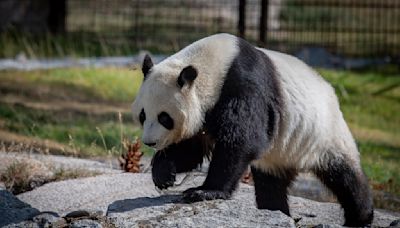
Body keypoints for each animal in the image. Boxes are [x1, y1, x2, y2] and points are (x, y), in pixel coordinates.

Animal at [133, 33, 374, 226]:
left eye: (165, 118)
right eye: (143, 115)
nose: (150, 142)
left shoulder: (243, 85)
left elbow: (242, 141)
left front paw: (203, 191)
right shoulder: (205, 113)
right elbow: (191, 150)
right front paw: (163, 175)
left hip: (324, 133)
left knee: (346, 177)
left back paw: (360, 217)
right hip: (278, 155)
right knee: (271, 185)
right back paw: (276, 211)